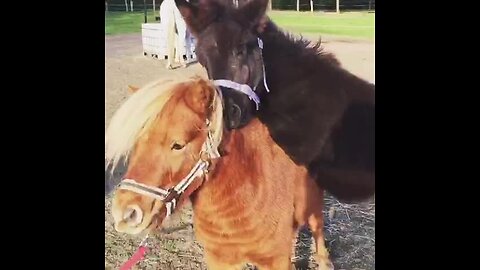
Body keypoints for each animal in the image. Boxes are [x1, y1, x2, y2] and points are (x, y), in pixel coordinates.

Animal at [106, 77, 334, 268]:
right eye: (137, 142)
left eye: (178, 145)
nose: (125, 214)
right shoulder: (220, 258)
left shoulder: (274, 260)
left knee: (317, 226)